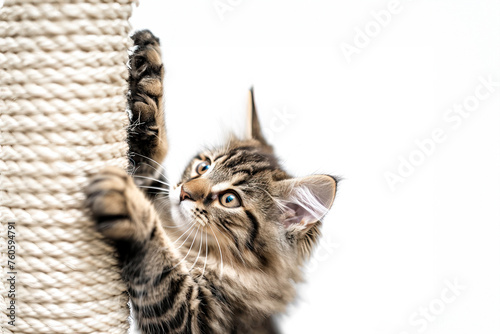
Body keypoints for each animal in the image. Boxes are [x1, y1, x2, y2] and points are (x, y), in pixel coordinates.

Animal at [85, 30, 336, 332]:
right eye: (203, 166)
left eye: (229, 199)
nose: (184, 192)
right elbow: (148, 162)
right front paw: (150, 80)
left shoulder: (199, 317)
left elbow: (160, 265)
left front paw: (129, 206)